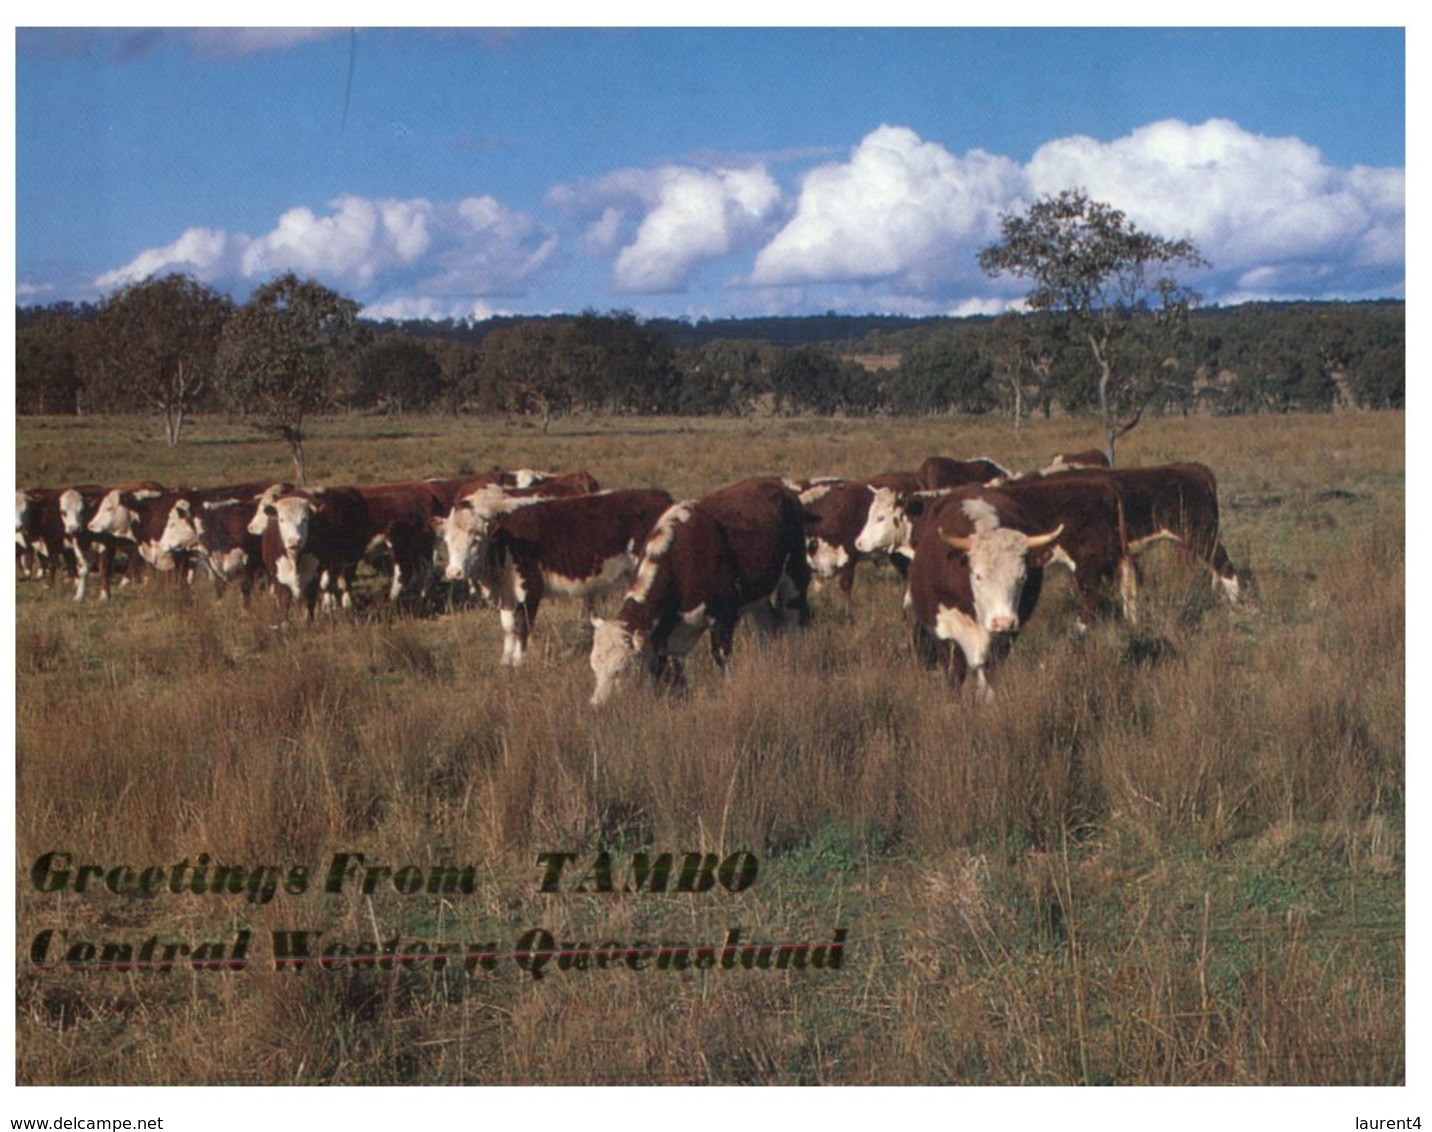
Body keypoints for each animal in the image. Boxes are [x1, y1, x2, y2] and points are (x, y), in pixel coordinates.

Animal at [443, 486, 673, 664]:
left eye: (475, 539)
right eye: (447, 541)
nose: (454, 572)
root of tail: (659, 496)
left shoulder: (529, 588)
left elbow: (522, 626)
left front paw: (519, 662)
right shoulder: (506, 593)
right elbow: (508, 627)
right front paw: (505, 662)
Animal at [587, 477, 813, 709]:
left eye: (620, 670)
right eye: (594, 667)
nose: (596, 705)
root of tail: (778, 484)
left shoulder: (724, 615)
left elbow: (721, 656)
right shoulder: (661, 637)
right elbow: (666, 670)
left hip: (795, 572)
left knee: (795, 620)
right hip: (757, 596)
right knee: (765, 628)